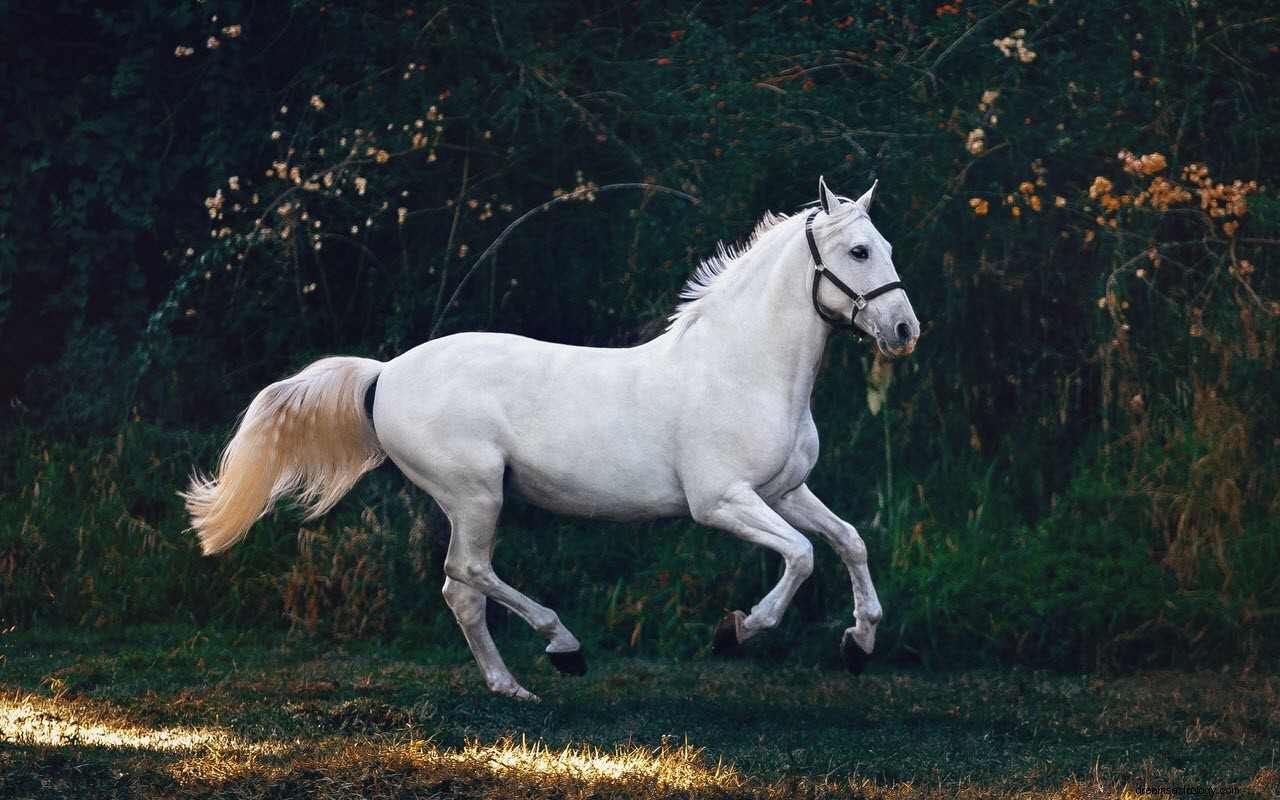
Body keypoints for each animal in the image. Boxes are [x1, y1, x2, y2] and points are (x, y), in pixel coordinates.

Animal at [183, 176, 921, 696]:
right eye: (859, 251)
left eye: (888, 248)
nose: (904, 330)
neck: (743, 368)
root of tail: (385, 373)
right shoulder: (721, 502)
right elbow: (801, 555)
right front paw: (735, 631)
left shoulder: (784, 490)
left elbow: (849, 541)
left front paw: (859, 644)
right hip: (476, 494)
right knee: (468, 574)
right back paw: (562, 648)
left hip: (473, 500)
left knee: (460, 591)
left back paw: (512, 687)